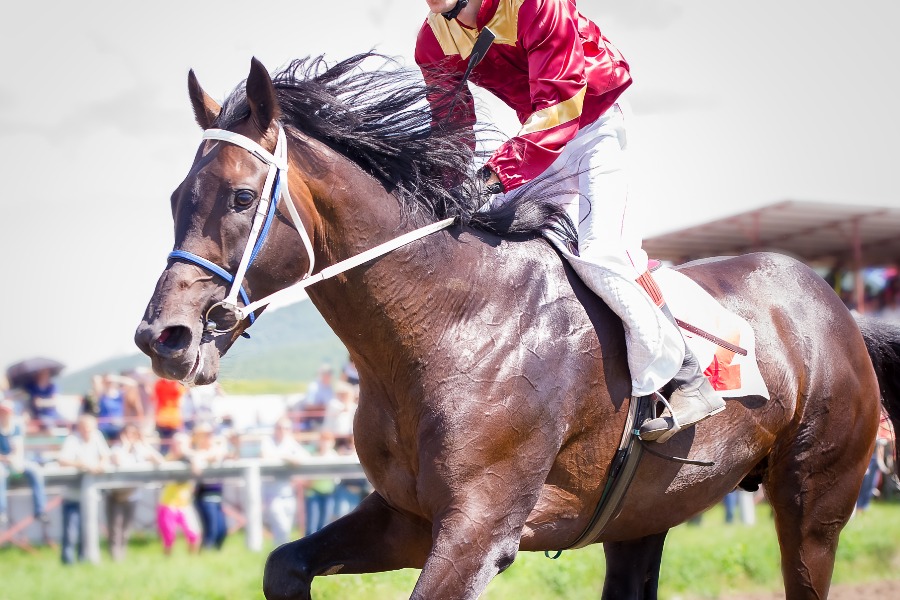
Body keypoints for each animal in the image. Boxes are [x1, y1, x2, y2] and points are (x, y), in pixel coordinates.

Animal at [134, 54, 900, 596]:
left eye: (240, 197)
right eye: (174, 197)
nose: (163, 337)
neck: (450, 323)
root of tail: (836, 306)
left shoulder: (480, 528)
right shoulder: (410, 517)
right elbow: (283, 567)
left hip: (815, 502)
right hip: (646, 511)